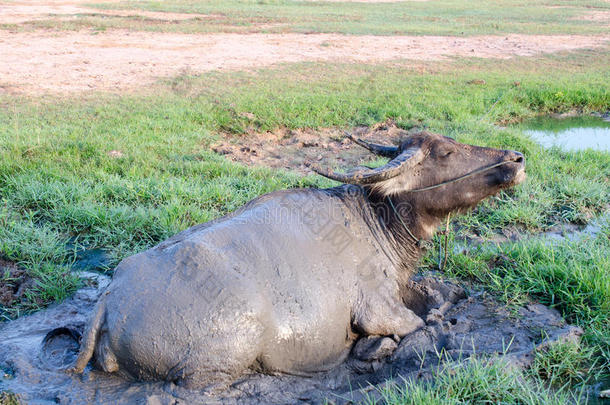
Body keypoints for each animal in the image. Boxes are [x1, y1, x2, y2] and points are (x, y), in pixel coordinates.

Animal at [66, 129, 524, 388]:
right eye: (445, 153)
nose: (516, 159)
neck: (375, 218)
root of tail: (111, 299)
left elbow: (442, 291)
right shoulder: (379, 309)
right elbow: (422, 323)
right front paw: (374, 348)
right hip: (220, 361)